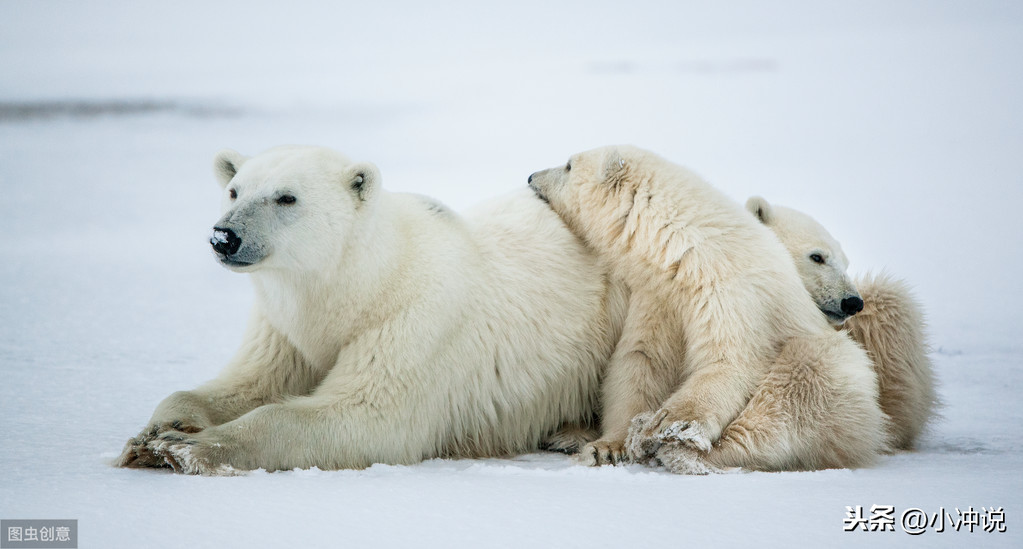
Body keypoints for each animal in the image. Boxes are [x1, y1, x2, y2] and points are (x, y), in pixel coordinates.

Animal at [119, 145, 630, 474]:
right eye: (234, 190)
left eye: (286, 197)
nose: (224, 237)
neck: (363, 282)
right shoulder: (284, 329)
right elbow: (249, 383)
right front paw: (157, 431)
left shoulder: (414, 320)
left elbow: (366, 418)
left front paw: (184, 447)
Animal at [527, 145, 887, 470]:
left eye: (569, 164)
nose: (531, 176)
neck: (687, 247)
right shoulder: (658, 296)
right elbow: (641, 362)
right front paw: (608, 447)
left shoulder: (731, 291)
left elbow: (729, 361)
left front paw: (669, 423)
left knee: (792, 393)